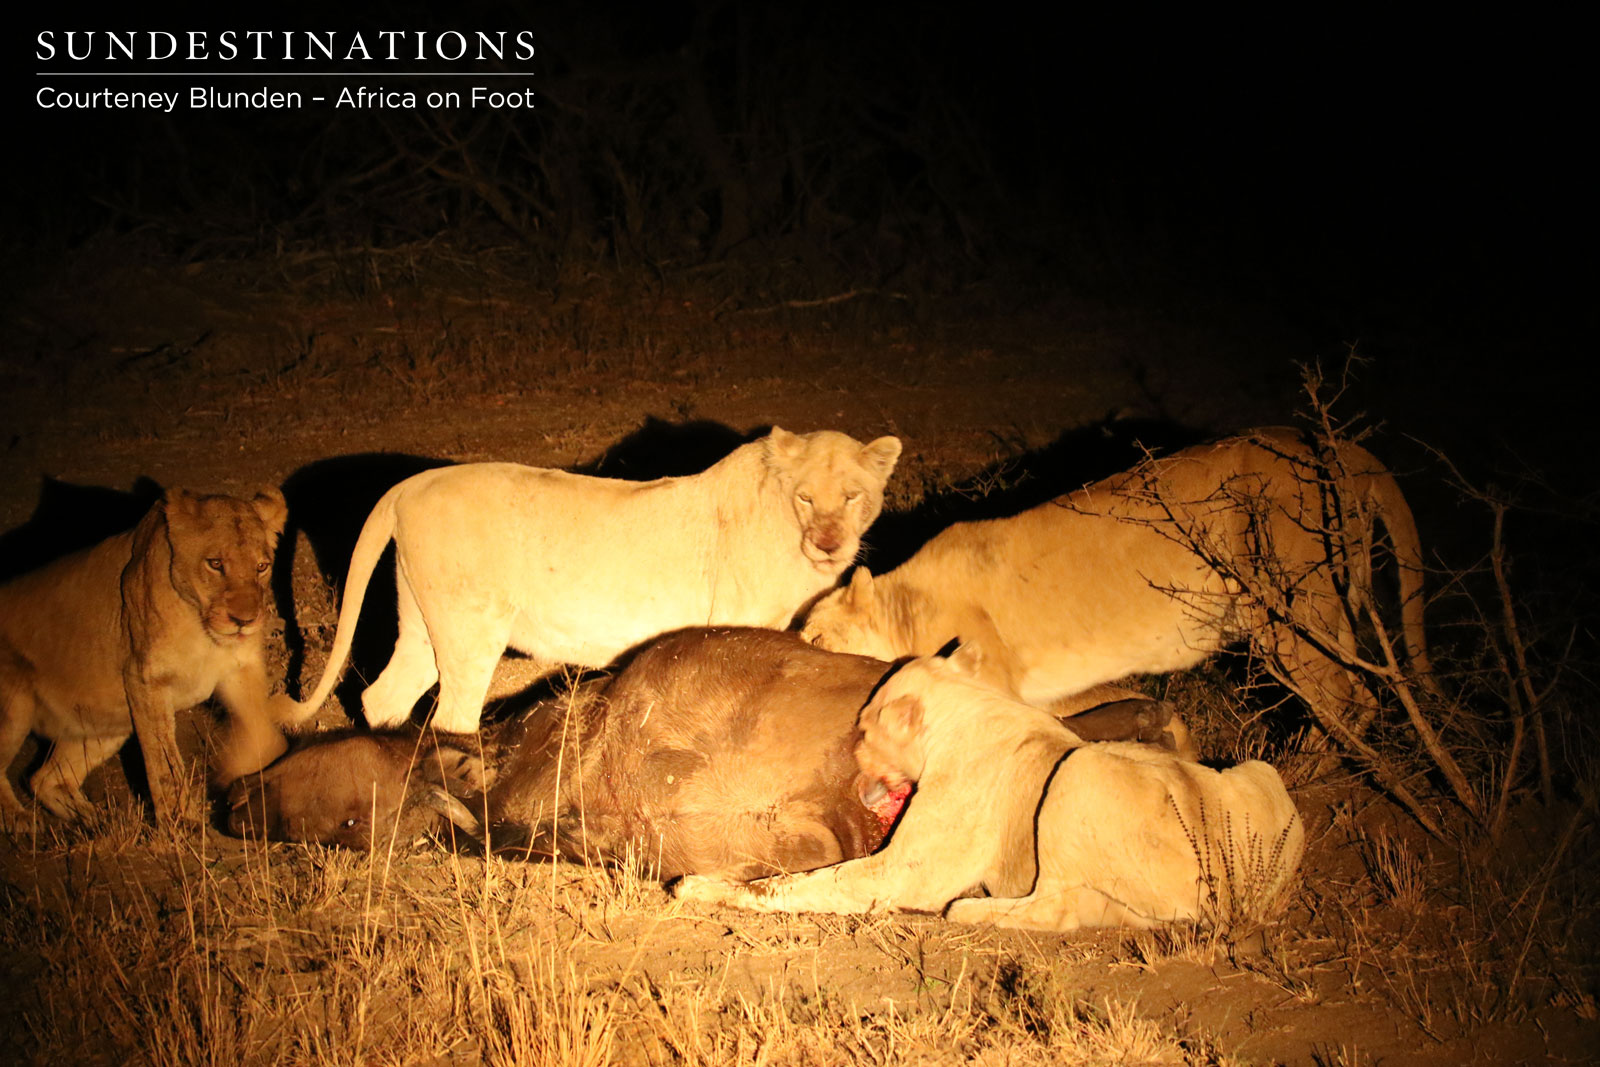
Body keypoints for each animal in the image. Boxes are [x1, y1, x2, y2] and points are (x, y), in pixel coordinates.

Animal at [0, 487, 289, 826]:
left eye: (261, 567)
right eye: (215, 563)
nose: (244, 621)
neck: (202, 630)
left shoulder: (240, 669)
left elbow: (262, 728)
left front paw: (251, 771)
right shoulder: (145, 680)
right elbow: (164, 761)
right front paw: (182, 822)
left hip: (107, 724)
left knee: (44, 779)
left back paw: (96, 823)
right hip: (15, 708)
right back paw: (17, 820)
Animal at [281, 428, 902, 734]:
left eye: (853, 495)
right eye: (807, 497)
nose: (829, 544)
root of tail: (408, 485)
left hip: (423, 625)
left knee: (380, 695)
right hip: (471, 627)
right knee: (451, 717)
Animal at [676, 644, 1305, 931]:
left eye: (864, 730)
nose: (854, 758)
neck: (974, 706)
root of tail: (1239, 892)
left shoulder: (902, 872)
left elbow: (790, 885)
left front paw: (700, 888)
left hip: (1075, 776)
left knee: (1056, 908)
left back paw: (971, 909)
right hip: (1259, 772)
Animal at [801, 427, 1433, 724]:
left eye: (817, 638)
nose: (795, 652)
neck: (903, 603)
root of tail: (1333, 443)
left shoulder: (990, 678)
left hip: (1295, 612)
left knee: (1351, 702)